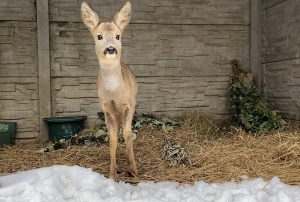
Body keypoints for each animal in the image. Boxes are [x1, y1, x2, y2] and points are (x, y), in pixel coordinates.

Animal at [82, 1, 138, 181]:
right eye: (99, 36)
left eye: (118, 36)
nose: (111, 49)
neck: (115, 93)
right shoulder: (107, 108)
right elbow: (113, 139)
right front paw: (113, 174)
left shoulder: (129, 105)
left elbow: (128, 134)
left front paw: (133, 169)